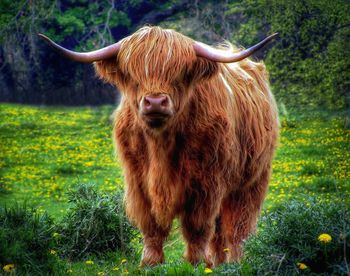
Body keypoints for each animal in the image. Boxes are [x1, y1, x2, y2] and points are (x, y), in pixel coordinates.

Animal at [39, 27, 278, 266]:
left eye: (180, 73)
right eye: (133, 75)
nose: (155, 102)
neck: (160, 145)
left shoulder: (206, 183)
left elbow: (197, 226)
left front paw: (195, 262)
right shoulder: (139, 182)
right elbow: (151, 225)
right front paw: (150, 262)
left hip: (251, 181)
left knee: (237, 226)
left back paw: (235, 262)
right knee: (220, 231)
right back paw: (216, 263)